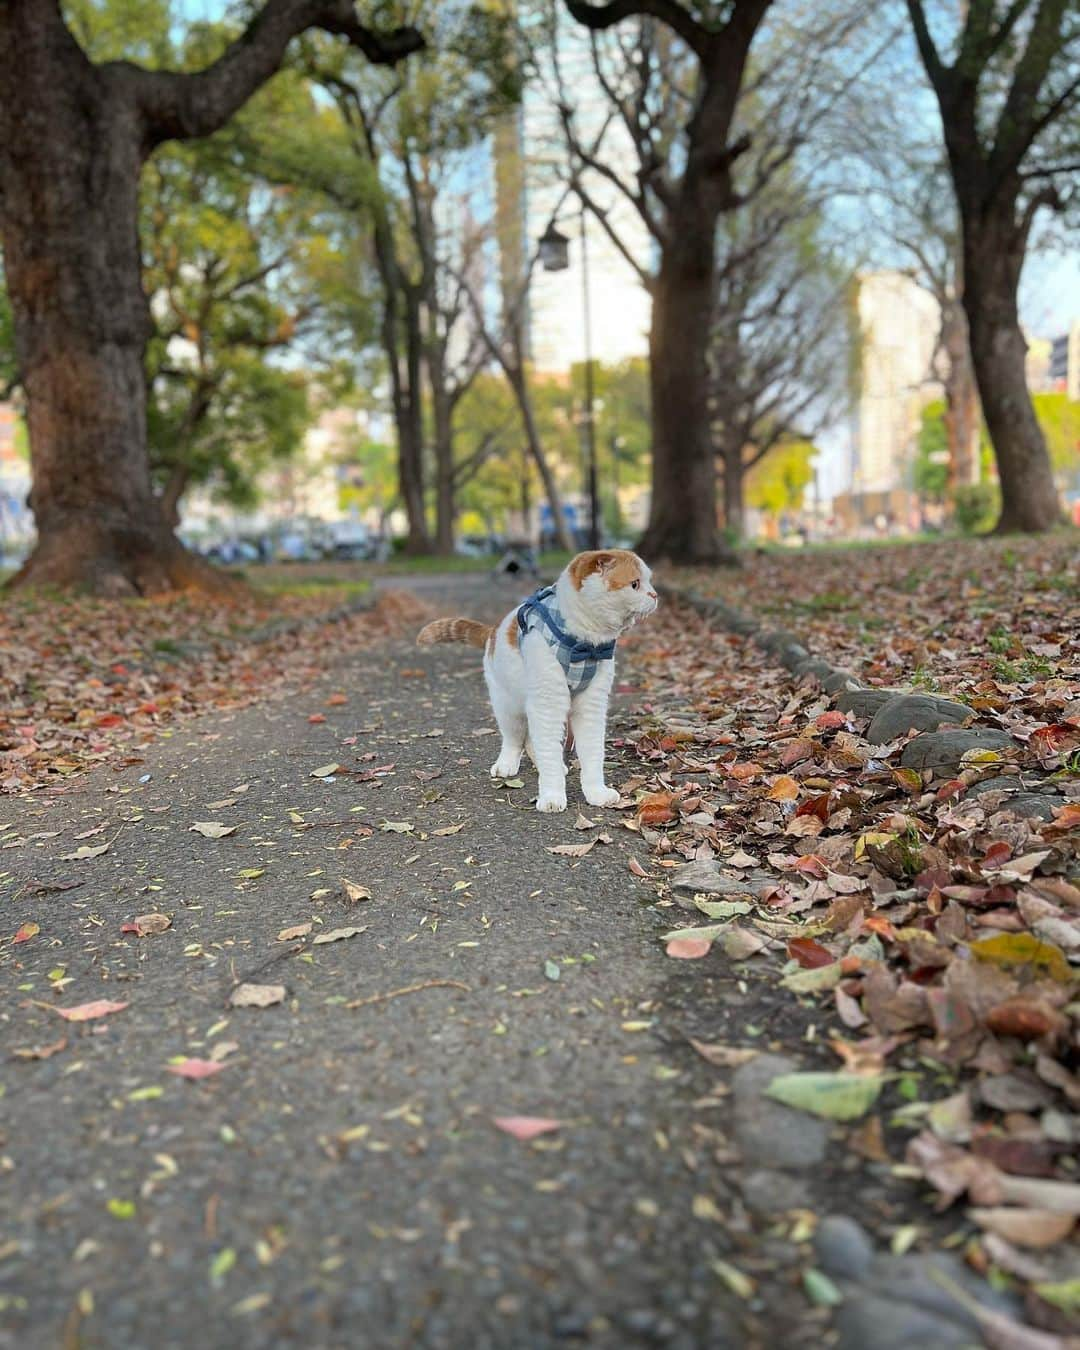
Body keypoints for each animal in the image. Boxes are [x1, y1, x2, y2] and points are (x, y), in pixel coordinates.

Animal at [418, 548, 658, 810]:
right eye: (635, 584)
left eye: (649, 582)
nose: (655, 595)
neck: (584, 644)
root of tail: (493, 631)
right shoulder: (547, 704)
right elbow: (548, 754)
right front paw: (552, 796)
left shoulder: (590, 707)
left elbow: (592, 754)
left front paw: (596, 792)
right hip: (510, 708)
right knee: (515, 740)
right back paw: (507, 765)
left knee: (534, 742)